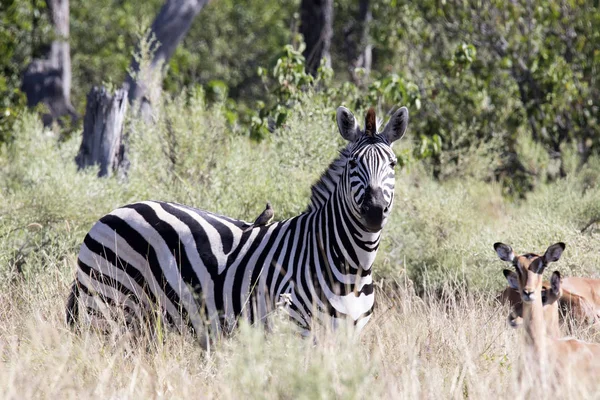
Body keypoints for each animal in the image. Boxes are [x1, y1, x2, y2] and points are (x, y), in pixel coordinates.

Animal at [68, 104, 410, 346]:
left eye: (393, 164)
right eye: (353, 163)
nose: (374, 211)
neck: (352, 264)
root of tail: (113, 211)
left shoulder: (349, 334)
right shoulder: (296, 327)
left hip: (143, 317)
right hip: (108, 304)